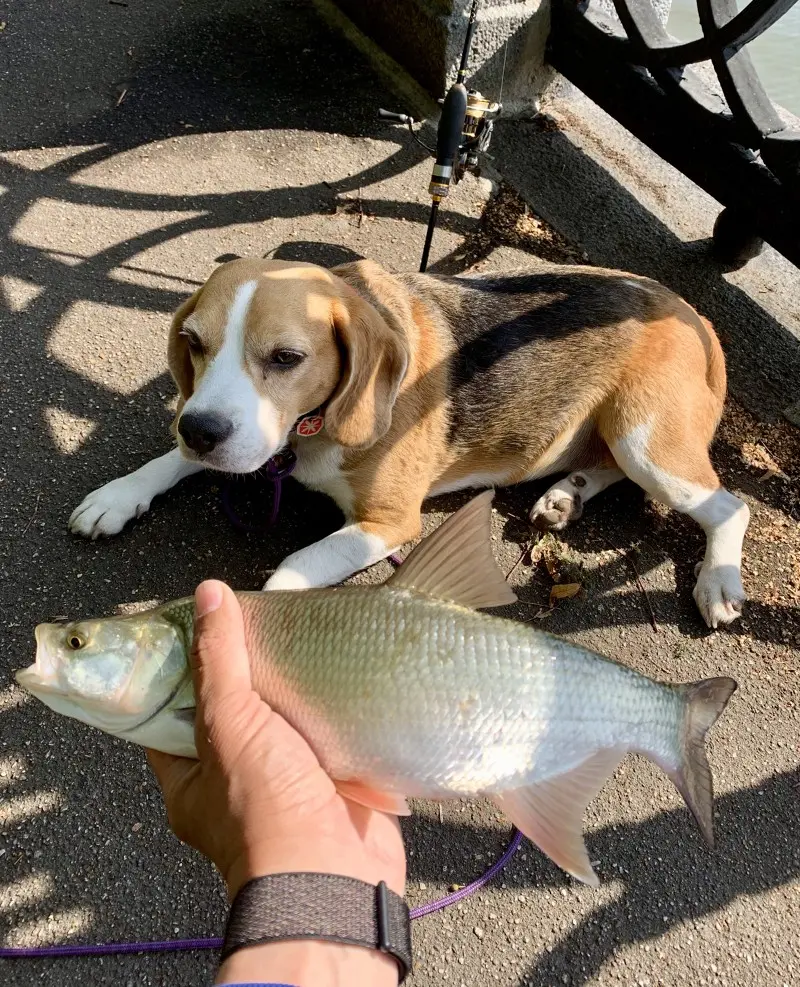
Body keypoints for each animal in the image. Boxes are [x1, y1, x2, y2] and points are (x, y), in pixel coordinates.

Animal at [70, 255, 752, 624]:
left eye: (286, 358)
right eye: (193, 343)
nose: (200, 431)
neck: (311, 431)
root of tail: (696, 315)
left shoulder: (391, 522)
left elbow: (294, 565)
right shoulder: (239, 441)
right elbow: (170, 462)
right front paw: (119, 495)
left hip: (645, 436)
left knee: (727, 505)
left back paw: (718, 582)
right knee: (602, 464)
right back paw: (567, 495)